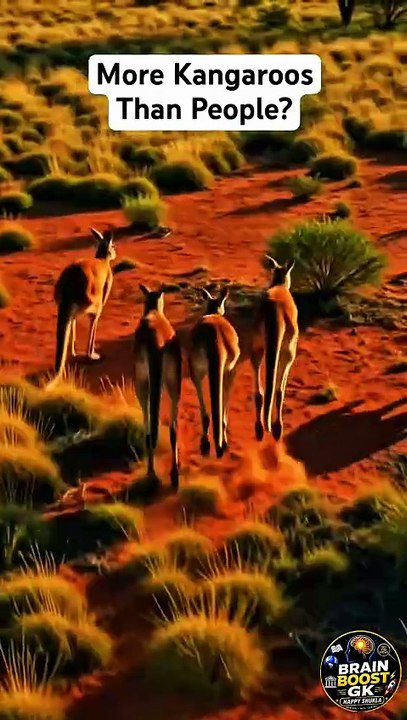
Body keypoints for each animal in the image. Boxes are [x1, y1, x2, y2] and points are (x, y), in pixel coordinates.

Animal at [47, 228, 116, 388]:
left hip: (67, 303)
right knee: (92, 320)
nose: (115, 254)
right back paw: (91, 355)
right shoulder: (106, 285)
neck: (102, 259)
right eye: (113, 246)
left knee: (71, 321)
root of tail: (69, 288)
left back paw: (73, 350)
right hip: (92, 302)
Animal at [249, 256, 298, 443]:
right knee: (279, 390)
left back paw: (259, 430)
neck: (279, 284)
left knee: (260, 391)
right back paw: (277, 429)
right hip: (289, 349)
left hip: (256, 343)